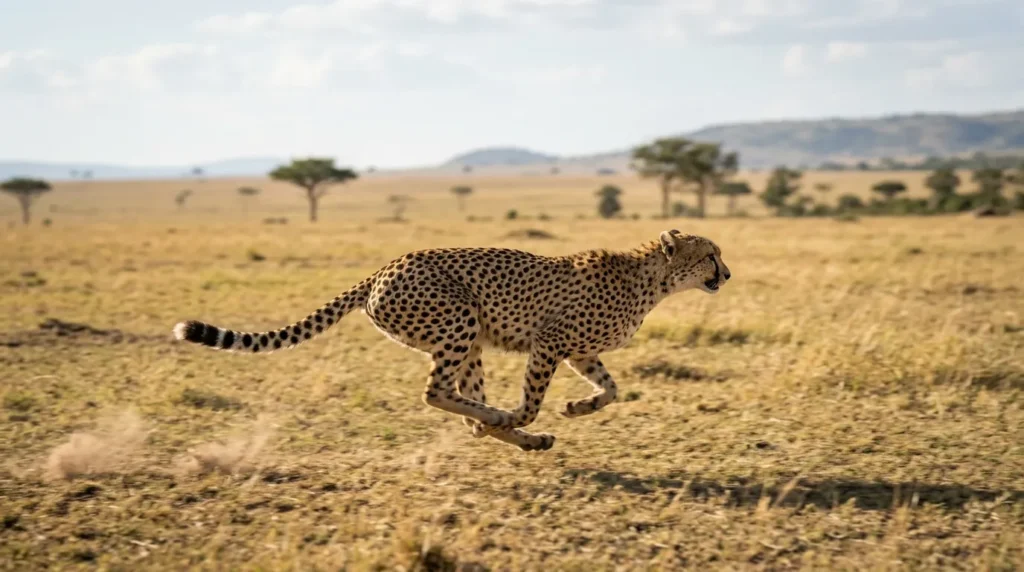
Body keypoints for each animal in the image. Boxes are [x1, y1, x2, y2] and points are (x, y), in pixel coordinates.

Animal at [172, 229, 731, 452]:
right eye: (711, 254)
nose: (727, 274)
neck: (653, 279)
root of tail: (385, 266)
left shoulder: (579, 350)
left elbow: (612, 388)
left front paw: (577, 408)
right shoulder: (549, 342)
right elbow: (532, 400)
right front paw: (528, 413)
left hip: (472, 337)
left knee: (462, 400)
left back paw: (515, 434)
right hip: (458, 321)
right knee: (437, 393)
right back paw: (504, 423)